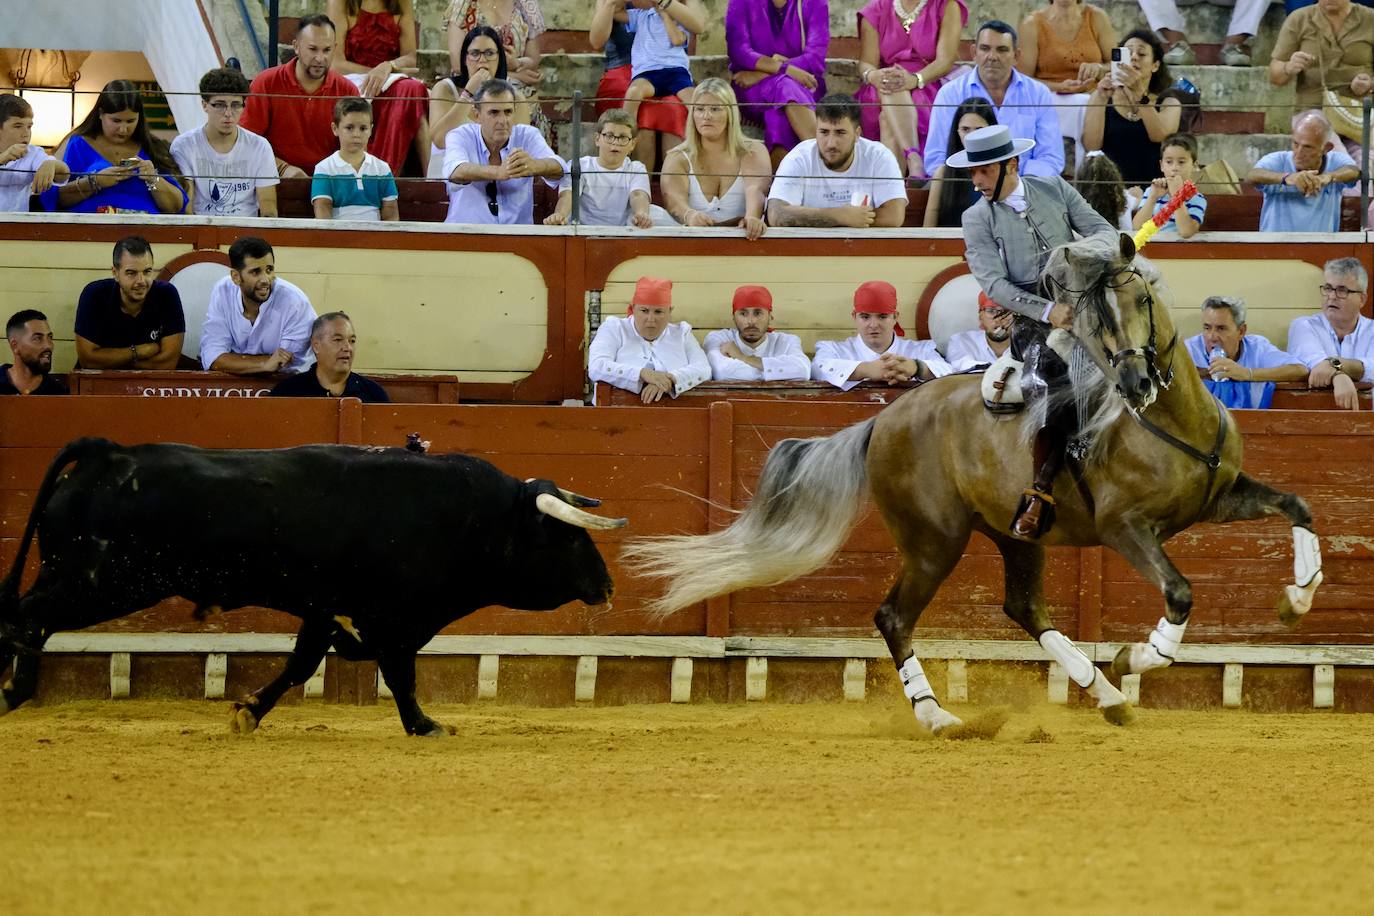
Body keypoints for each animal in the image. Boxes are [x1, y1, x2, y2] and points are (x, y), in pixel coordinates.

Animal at [0, 439, 623, 736]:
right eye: (569, 537)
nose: (607, 584)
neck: (479, 519)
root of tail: (109, 452)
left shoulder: (326, 609)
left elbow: (301, 664)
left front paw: (249, 711)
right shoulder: (391, 618)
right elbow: (399, 673)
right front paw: (425, 726)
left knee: (24, 618)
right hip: (102, 582)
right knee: (26, 618)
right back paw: (12, 693)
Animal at [629, 236, 1324, 736]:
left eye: (1143, 305)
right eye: (1097, 320)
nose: (1135, 383)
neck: (1166, 422)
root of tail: (886, 418)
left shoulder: (1220, 497)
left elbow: (1298, 505)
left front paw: (1297, 597)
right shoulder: (1124, 529)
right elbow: (1179, 593)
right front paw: (1135, 658)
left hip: (1017, 533)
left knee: (1024, 607)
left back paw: (1104, 698)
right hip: (934, 540)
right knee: (895, 616)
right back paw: (941, 716)